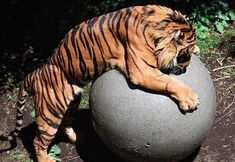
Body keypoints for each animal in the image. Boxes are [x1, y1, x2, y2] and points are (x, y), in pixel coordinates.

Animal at [0, 4, 201, 161]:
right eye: (184, 56)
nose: (185, 70)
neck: (157, 24)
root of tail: (35, 74)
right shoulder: (141, 71)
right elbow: (169, 82)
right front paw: (190, 99)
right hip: (50, 112)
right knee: (38, 141)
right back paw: (46, 159)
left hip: (72, 103)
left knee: (66, 123)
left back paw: (79, 138)